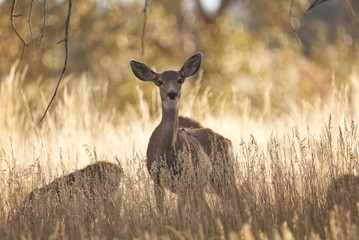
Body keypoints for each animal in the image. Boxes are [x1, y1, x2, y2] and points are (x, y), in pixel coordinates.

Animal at [130, 52, 242, 223]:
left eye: (180, 80)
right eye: (159, 81)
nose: (172, 94)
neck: (166, 151)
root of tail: (227, 141)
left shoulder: (184, 179)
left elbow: (180, 212)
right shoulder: (156, 178)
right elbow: (161, 210)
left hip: (222, 173)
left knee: (235, 198)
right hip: (202, 184)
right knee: (209, 208)